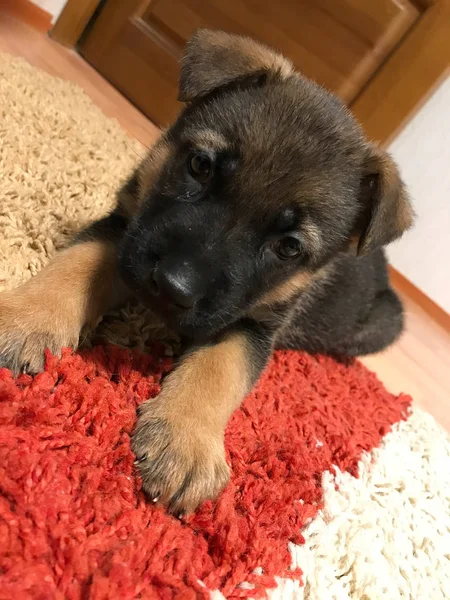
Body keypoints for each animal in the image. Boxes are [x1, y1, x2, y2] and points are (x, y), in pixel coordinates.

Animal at [0, 30, 414, 512]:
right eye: (200, 165)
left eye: (289, 247)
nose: (171, 287)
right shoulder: (126, 231)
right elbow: (75, 264)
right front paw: (27, 321)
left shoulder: (253, 323)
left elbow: (220, 368)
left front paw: (186, 440)